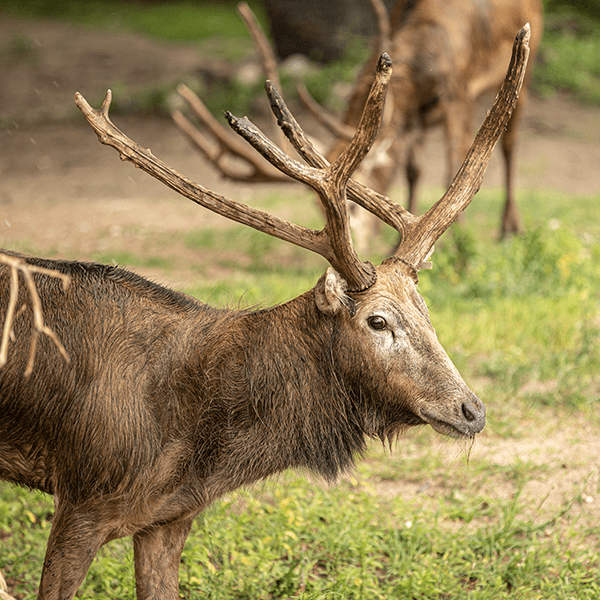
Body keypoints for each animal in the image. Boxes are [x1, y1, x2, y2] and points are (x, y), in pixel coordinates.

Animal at [0, 27, 528, 600]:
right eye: (378, 321)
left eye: (426, 311)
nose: (472, 410)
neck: (196, 445)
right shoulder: (81, 501)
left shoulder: (168, 518)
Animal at [171, 0, 540, 244]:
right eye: (316, 209)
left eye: (354, 205)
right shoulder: (414, 114)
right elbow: (413, 169)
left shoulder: (458, 92)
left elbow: (456, 162)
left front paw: (461, 248)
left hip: (527, 63)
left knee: (509, 142)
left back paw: (510, 228)